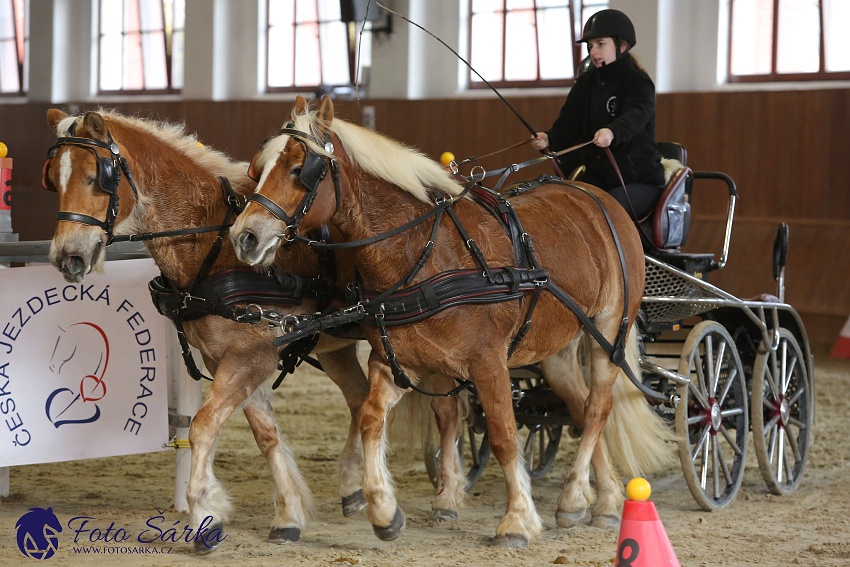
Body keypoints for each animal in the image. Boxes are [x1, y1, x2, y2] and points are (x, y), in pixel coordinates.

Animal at [41, 108, 380, 552]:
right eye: (54, 178)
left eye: (96, 177)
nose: (68, 258)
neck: (212, 241)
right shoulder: (227, 358)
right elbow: (265, 434)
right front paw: (288, 514)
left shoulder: (252, 356)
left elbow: (203, 425)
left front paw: (205, 513)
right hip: (336, 347)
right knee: (360, 400)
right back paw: (355, 487)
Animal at [227, 95, 676, 548]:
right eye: (256, 169)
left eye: (300, 169)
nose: (244, 237)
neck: (423, 251)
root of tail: (595, 195)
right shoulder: (395, 360)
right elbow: (373, 417)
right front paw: (385, 511)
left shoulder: (489, 363)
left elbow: (503, 436)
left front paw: (517, 520)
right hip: (555, 350)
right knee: (581, 409)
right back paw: (591, 499)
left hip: (608, 327)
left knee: (599, 407)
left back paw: (589, 500)